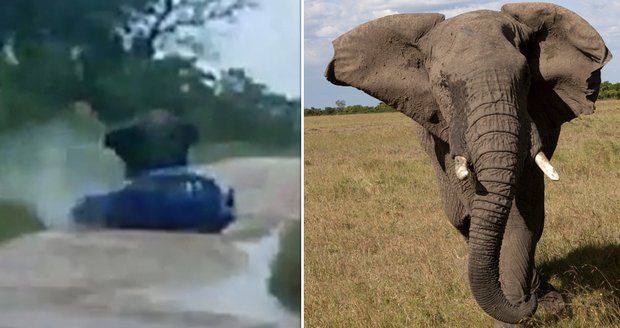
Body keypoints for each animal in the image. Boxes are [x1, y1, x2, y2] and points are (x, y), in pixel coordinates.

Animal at [324, 1, 612, 326]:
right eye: (443, 85)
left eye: (527, 77)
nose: (526, 302)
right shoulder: (446, 138)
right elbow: (484, 206)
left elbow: (524, 213)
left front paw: (535, 307)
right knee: (460, 218)